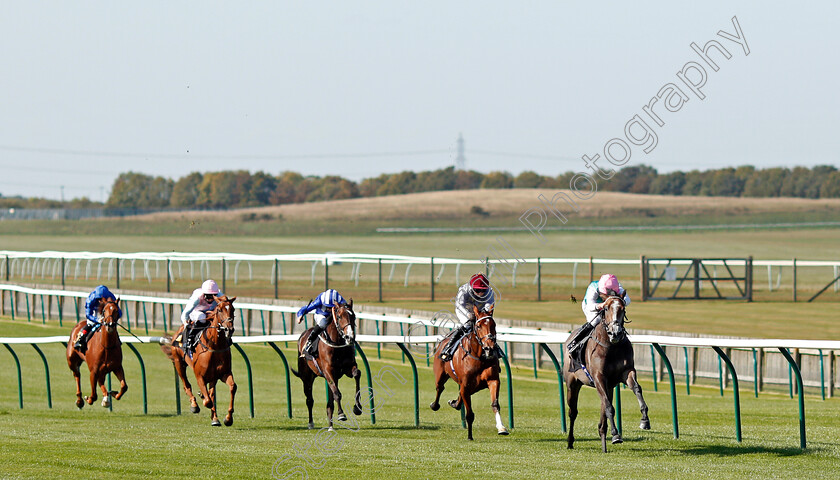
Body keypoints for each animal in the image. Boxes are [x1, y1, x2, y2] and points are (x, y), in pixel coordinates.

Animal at [162, 296, 238, 428]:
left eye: (232, 309)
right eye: (219, 309)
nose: (229, 329)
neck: (215, 346)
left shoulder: (224, 373)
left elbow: (232, 387)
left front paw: (228, 418)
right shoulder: (200, 376)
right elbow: (208, 401)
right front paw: (201, 398)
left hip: (212, 377)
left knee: (211, 393)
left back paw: (214, 417)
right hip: (179, 363)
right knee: (186, 385)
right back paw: (194, 405)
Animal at [292, 300, 360, 432]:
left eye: (353, 316)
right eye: (339, 316)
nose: (350, 337)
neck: (337, 344)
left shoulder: (347, 368)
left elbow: (357, 374)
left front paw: (357, 407)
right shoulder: (328, 371)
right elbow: (337, 394)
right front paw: (341, 414)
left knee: (329, 402)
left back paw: (330, 426)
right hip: (307, 378)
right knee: (309, 400)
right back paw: (311, 423)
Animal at [430, 306, 508, 440]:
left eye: (494, 325)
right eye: (479, 326)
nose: (489, 348)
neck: (480, 357)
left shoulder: (493, 380)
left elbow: (495, 404)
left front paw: (501, 428)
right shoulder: (465, 385)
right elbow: (470, 414)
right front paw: (470, 436)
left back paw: (454, 403)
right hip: (440, 375)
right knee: (440, 388)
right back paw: (435, 405)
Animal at [564, 294, 648, 452]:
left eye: (623, 308)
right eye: (607, 308)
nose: (615, 332)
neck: (611, 346)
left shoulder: (626, 372)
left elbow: (636, 389)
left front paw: (645, 419)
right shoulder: (599, 377)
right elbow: (609, 408)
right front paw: (616, 434)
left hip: (608, 387)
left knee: (603, 406)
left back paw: (603, 440)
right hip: (572, 383)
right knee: (573, 412)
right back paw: (570, 441)